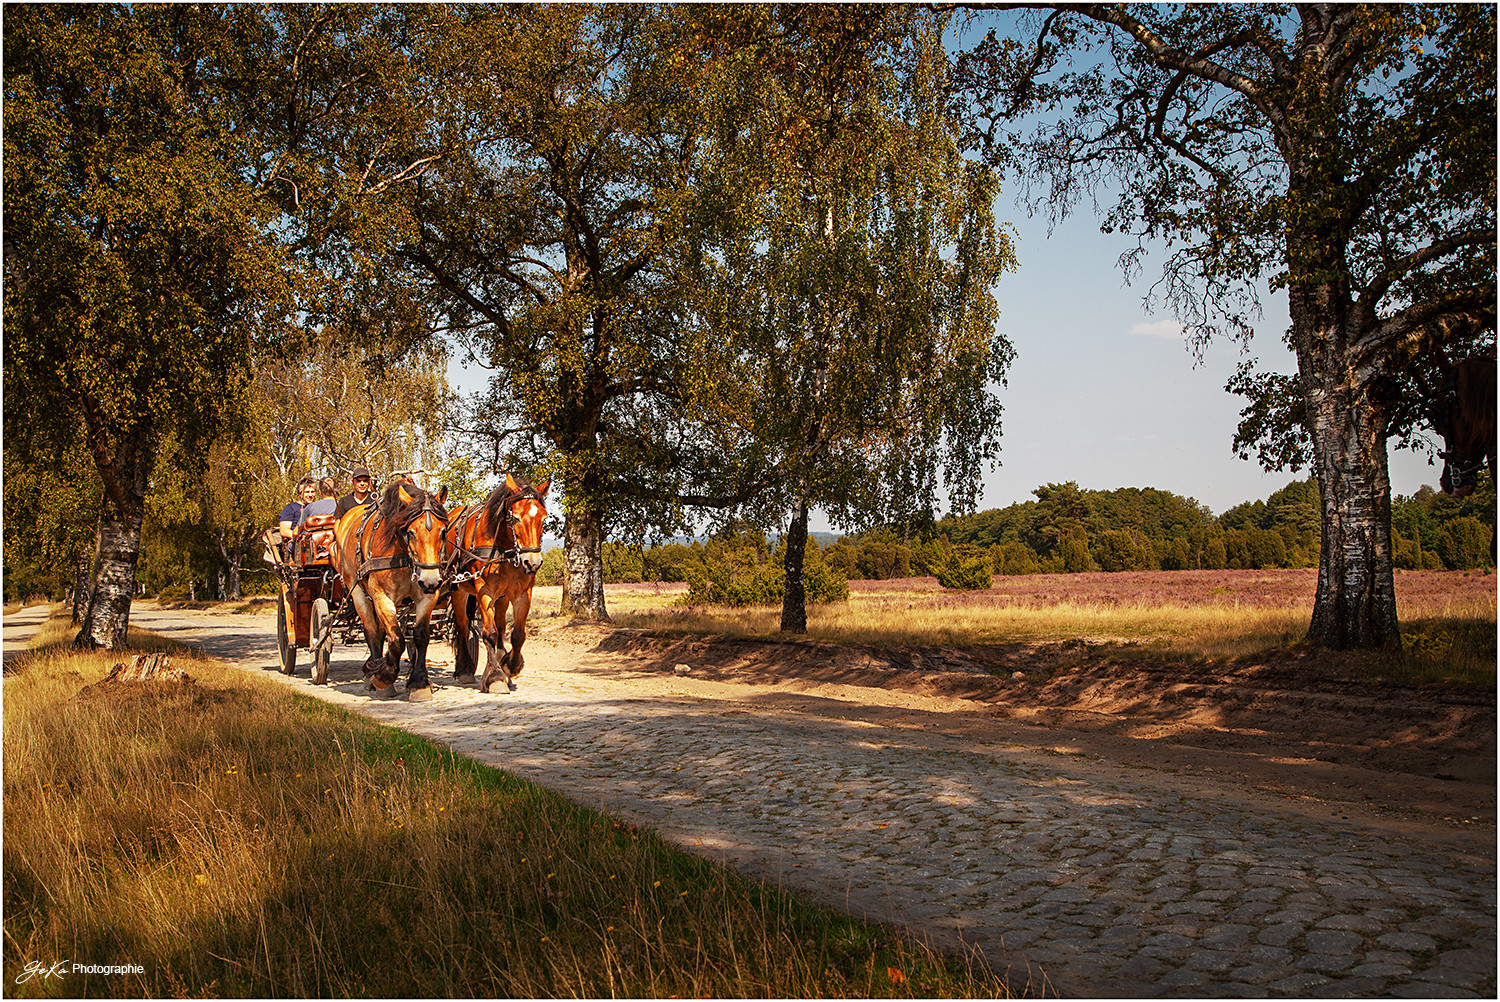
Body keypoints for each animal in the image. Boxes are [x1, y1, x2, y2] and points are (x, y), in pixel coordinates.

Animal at [339, 480, 450, 702]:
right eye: (411, 532)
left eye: (443, 532)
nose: (430, 581)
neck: (403, 556)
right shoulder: (382, 596)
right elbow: (397, 639)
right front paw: (383, 677)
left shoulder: (427, 596)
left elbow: (420, 635)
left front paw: (419, 682)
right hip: (358, 594)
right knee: (372, 631)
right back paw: (374, 676)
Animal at [444, 474, 552, 693]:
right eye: (515, 517)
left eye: (543, 518)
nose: (533, 563)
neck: (504, 549)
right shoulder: (484, 592)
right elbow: (489, 633)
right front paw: (495, 676)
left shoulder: (522, 594)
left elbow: (517, 634)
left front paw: (511, 666)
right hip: (459, 591)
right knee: (463, 625)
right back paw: (465, 669)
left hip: (502, 598)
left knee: (501, 626)